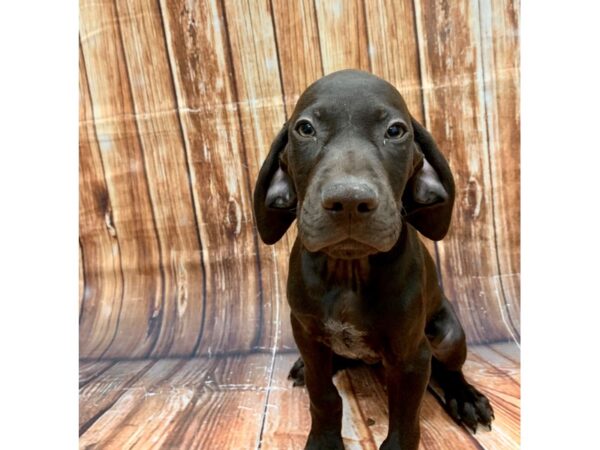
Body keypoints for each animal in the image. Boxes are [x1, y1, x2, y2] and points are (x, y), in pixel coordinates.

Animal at [253, 70, 492, 450]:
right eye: (304, 128)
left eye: (395, 131)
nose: (350, 202)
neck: (348, 272)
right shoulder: (305, 333)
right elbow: (323, 395)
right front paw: (323, 440)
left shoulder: (412, 356)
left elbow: (405, 417)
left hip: (449, 335)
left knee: (450, 367)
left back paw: (465, 396)